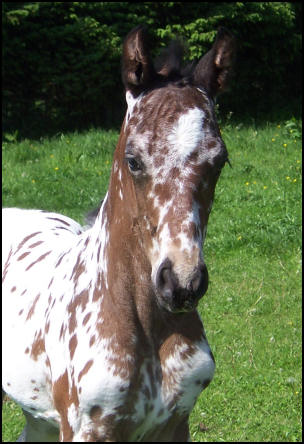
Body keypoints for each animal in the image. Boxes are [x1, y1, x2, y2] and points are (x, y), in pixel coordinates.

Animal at [1, 26, 235, 442]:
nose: (181, 284)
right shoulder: (88, 428)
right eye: (133, 160)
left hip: (38, 415)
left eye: (219, 160)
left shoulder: (176, 424)